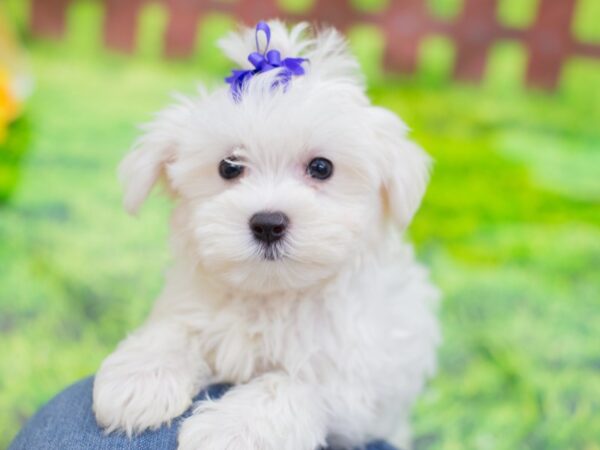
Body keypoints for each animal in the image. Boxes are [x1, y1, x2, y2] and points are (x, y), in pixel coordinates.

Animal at [94, 20, 440, 450]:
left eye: (322, 167)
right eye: (229, 167)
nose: (268, 223)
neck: (271, 294)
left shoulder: (354, 383)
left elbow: (293, 386)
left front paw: (232, 429)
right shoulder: (192, 306)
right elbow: (175, 330)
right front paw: (140, 378)